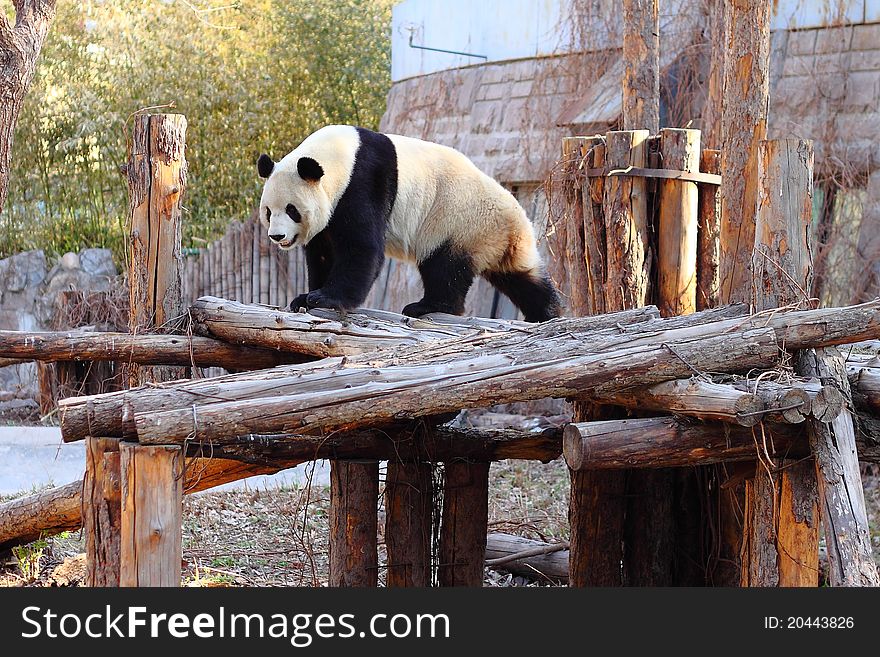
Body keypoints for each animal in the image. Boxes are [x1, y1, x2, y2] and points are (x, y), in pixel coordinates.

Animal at [258, 124, 560, 322]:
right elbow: (323, 251)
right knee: (520, 276)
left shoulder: (362, 182)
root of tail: (516, 224)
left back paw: (427, 307)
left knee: (444, 267)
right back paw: (548, 312)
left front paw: (326, 298)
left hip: (459, 222)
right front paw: (305, 296)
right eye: (269, 212)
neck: (339, 156)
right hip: (491, 239)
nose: (277, 237)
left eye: (292, 210)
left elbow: (362, 248)